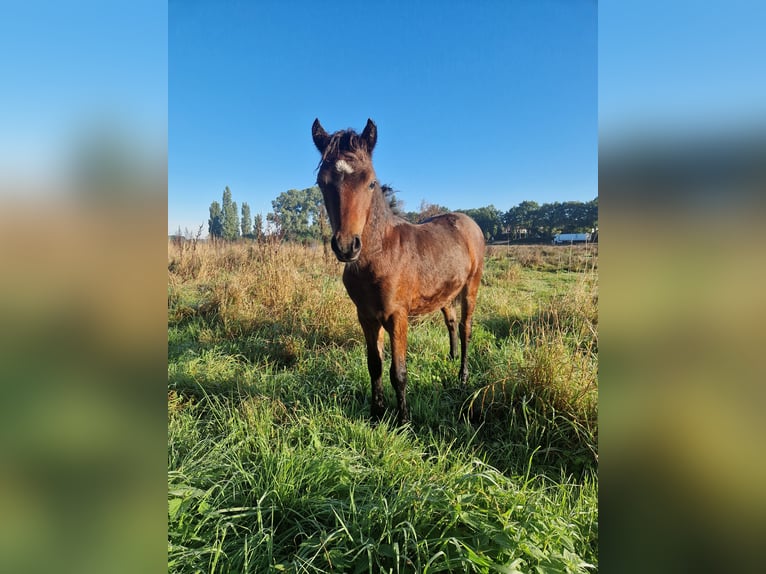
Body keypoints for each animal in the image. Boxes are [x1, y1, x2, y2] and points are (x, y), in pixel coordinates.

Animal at [312, 118, 485, 425]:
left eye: (371, 182)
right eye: (322, 182)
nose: (346, 246)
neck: (381, 254)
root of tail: (469, 222)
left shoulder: (397, 316)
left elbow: (398, 372)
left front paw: (403, 420)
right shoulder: (366, 316)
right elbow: (374, 365)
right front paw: (376, 413)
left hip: (471, 286)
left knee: (466, 328)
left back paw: (463, 376)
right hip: (444, 292)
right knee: (451, 321)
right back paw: (451, 357)